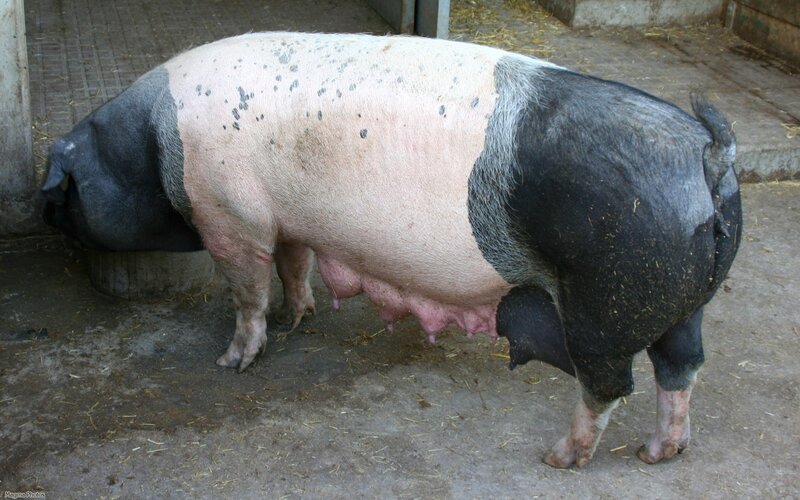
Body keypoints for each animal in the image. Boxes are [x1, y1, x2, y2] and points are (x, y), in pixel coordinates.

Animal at [42, 32, 741, 468]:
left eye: (64, 189)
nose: (44, 213)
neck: (152, 147)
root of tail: (709, 156)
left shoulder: (231, 217)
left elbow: (247, 290)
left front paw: (231, 362)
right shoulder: (289, 220)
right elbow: (294, 267)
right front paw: (300, 319)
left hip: (606, 302)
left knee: (610, 383)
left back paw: (559, 458)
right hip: (686, 306)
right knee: (682, 369)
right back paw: (659, 453)